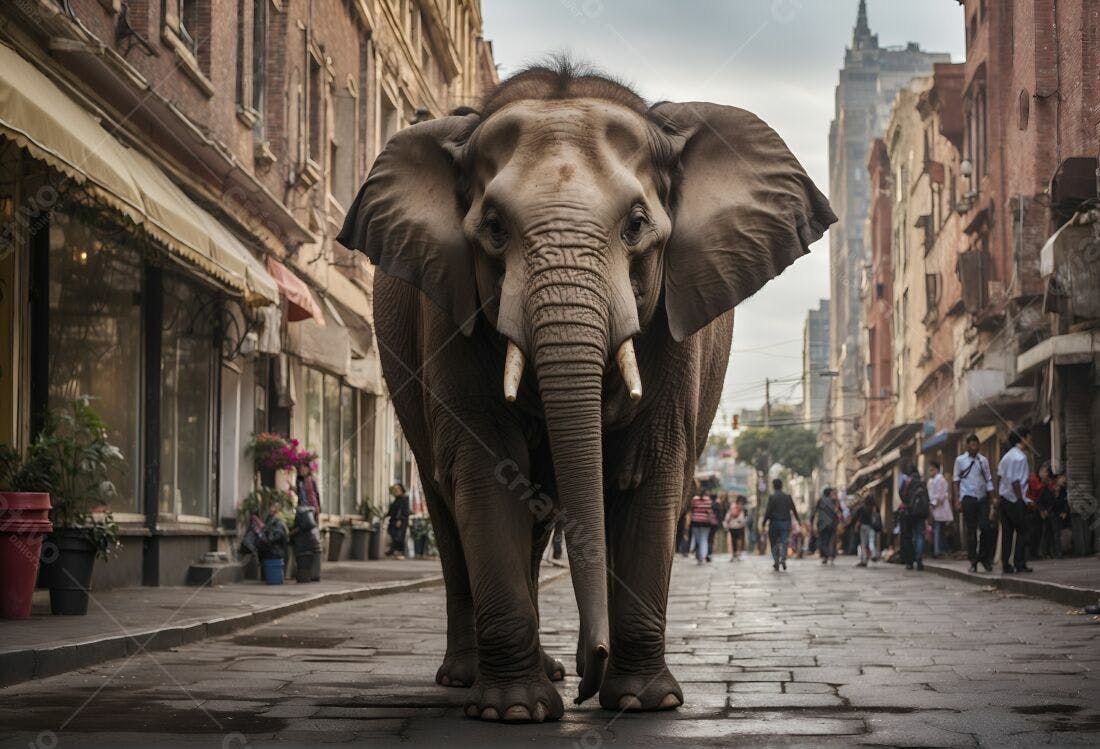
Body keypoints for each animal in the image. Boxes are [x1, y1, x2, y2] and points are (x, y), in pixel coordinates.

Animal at [337, 60, 836, 723]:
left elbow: (650, 472)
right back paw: (469, 679)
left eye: (637, 226)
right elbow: (488, 470)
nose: (586, 677)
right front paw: (515, 712)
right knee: (449, 505)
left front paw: (646, 702)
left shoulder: (678, 326)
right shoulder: (446, 313)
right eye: (493, 229)